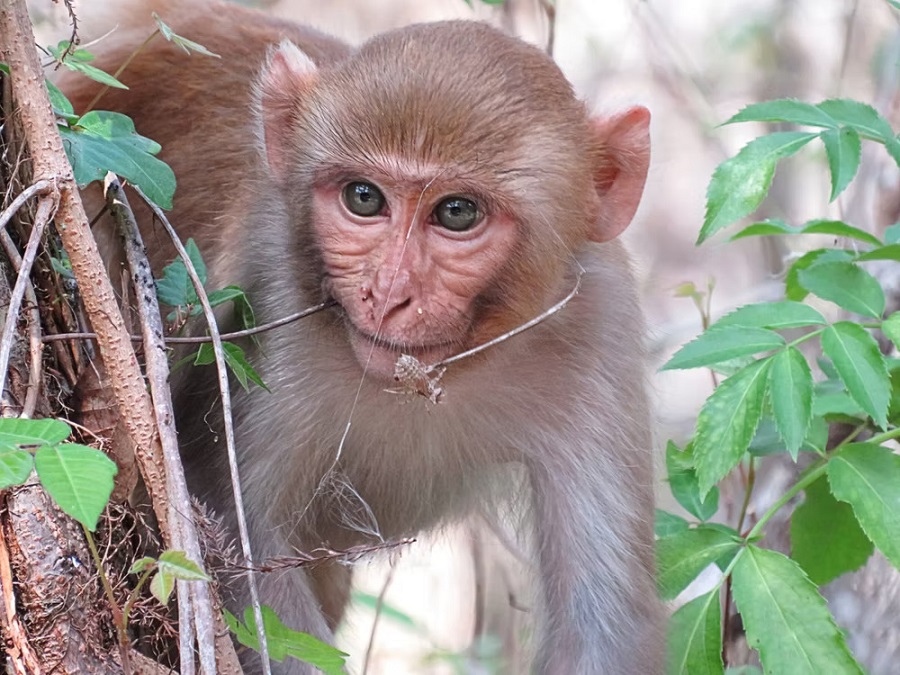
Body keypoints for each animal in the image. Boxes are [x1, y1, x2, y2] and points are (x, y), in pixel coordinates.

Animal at [59, 1, 663, 673]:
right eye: (364, 198)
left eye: (457, 213)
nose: (388, 292)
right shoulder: (273, 288)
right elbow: (232, 535)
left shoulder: (598, 326)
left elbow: (604, 626)